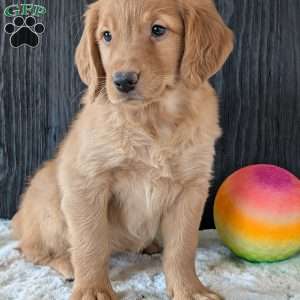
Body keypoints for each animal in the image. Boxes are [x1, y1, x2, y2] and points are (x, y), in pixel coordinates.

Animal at [11, 0, 233, 298]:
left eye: (158, 29)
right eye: (106, 35)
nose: (123, 80)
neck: (151, 119)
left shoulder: (191, 187)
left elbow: (183, 247)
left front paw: (189, 289)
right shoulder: (86, 181)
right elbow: (90, 241)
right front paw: (92, 289)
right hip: (49, 205)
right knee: (31, 249)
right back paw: (67, 265)